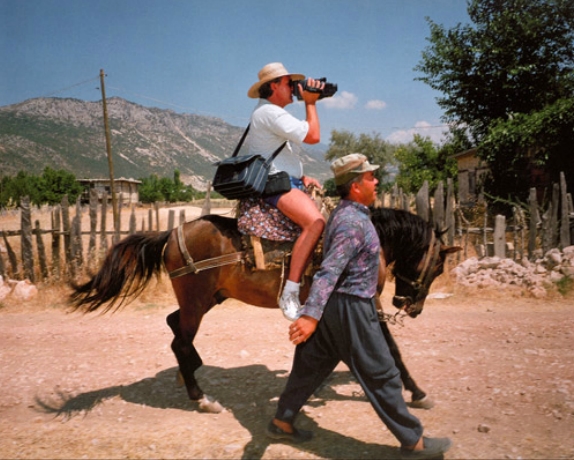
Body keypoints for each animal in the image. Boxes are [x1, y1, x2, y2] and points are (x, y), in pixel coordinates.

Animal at [68, 207, 464, 412]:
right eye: (437, 267)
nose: (410, 306)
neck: (364, 241)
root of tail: (172, 233)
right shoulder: (364, 300)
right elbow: (390, 347)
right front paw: (417, 392)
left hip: (207, 299)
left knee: (174, 326)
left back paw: (190, 370)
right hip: (197, 301)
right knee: (179, 339)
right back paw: (201, 397)